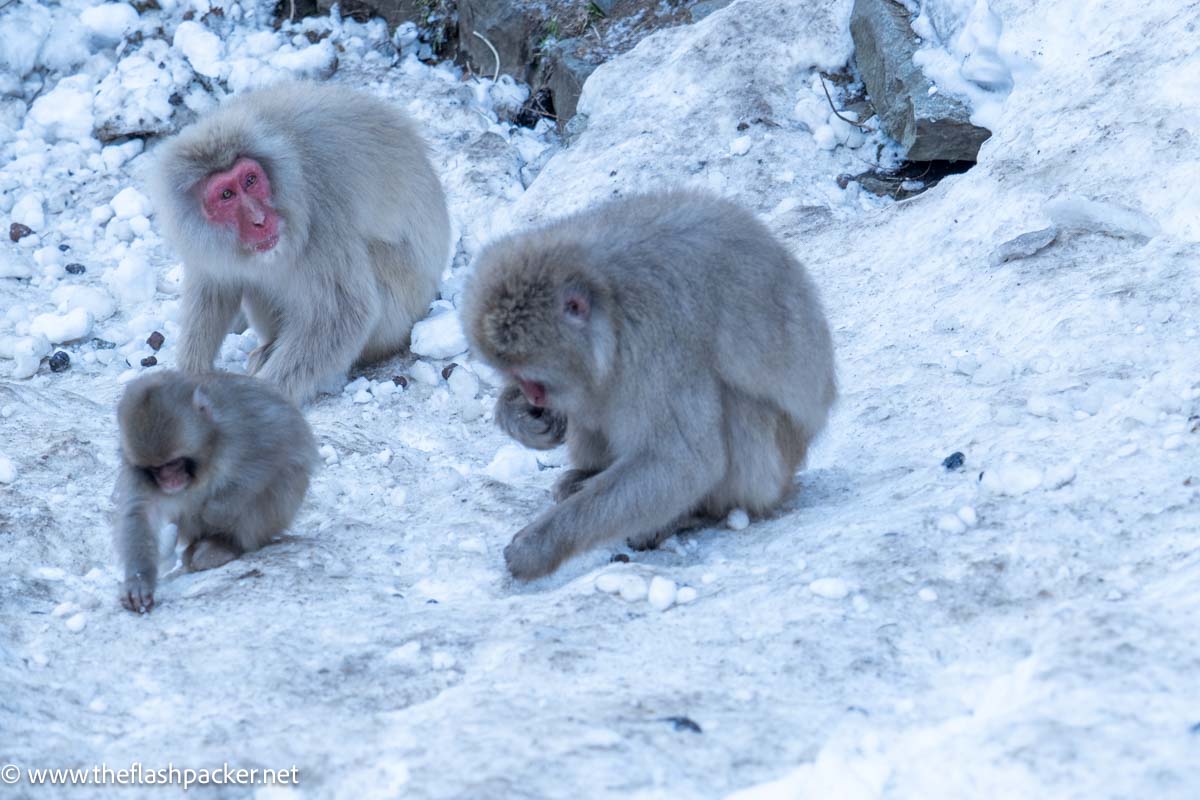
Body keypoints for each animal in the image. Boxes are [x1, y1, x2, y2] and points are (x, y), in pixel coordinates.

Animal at [112, 371, 316, 614]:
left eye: (174, 462)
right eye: (156, 468)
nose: (169, 481)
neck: (209, 451)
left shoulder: (242, 426)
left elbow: (276, 448)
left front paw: (216, 513)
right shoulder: (135, 469)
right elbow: (140, 513)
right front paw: (138, 582)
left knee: (278, 478)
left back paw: (226, 544)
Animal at [150, 80, 451, 402]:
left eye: (250, 180)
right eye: (226, 195)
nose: (259, 219)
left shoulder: (320, 211)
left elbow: (343, 314)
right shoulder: (201, 240)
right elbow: (215, 288)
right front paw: (189, 378)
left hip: (396, 314)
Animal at [463, 190, 840, 578]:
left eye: (534, 378)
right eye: (519, 378)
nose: (534, 396)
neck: (608, 296)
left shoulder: (658, 335)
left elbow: (683, 462)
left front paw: (539, 545)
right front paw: (522, 415)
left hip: (774, 466)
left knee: (735, 405)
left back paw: (696, 513)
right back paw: (585, 475)